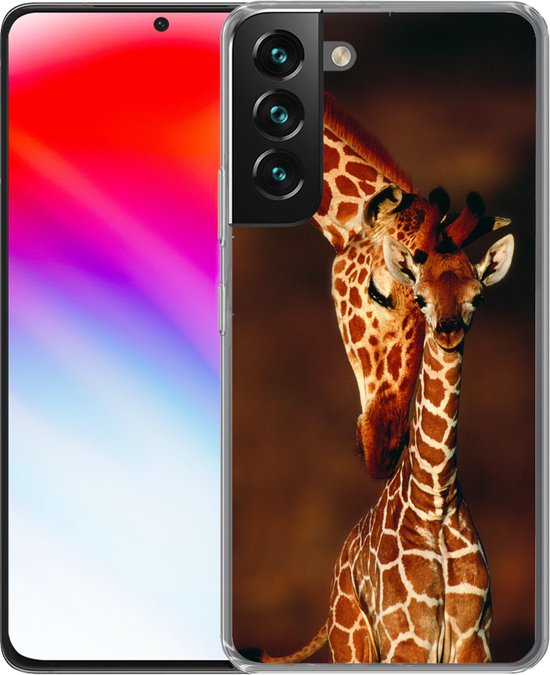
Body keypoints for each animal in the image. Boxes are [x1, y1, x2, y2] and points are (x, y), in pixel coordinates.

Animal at [258, 196, 514, 664]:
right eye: (421, 298)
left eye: (478, 296)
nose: (448, 331)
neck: (436, 501)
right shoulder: (408, 640)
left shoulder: (474, 640)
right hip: (352, 644)